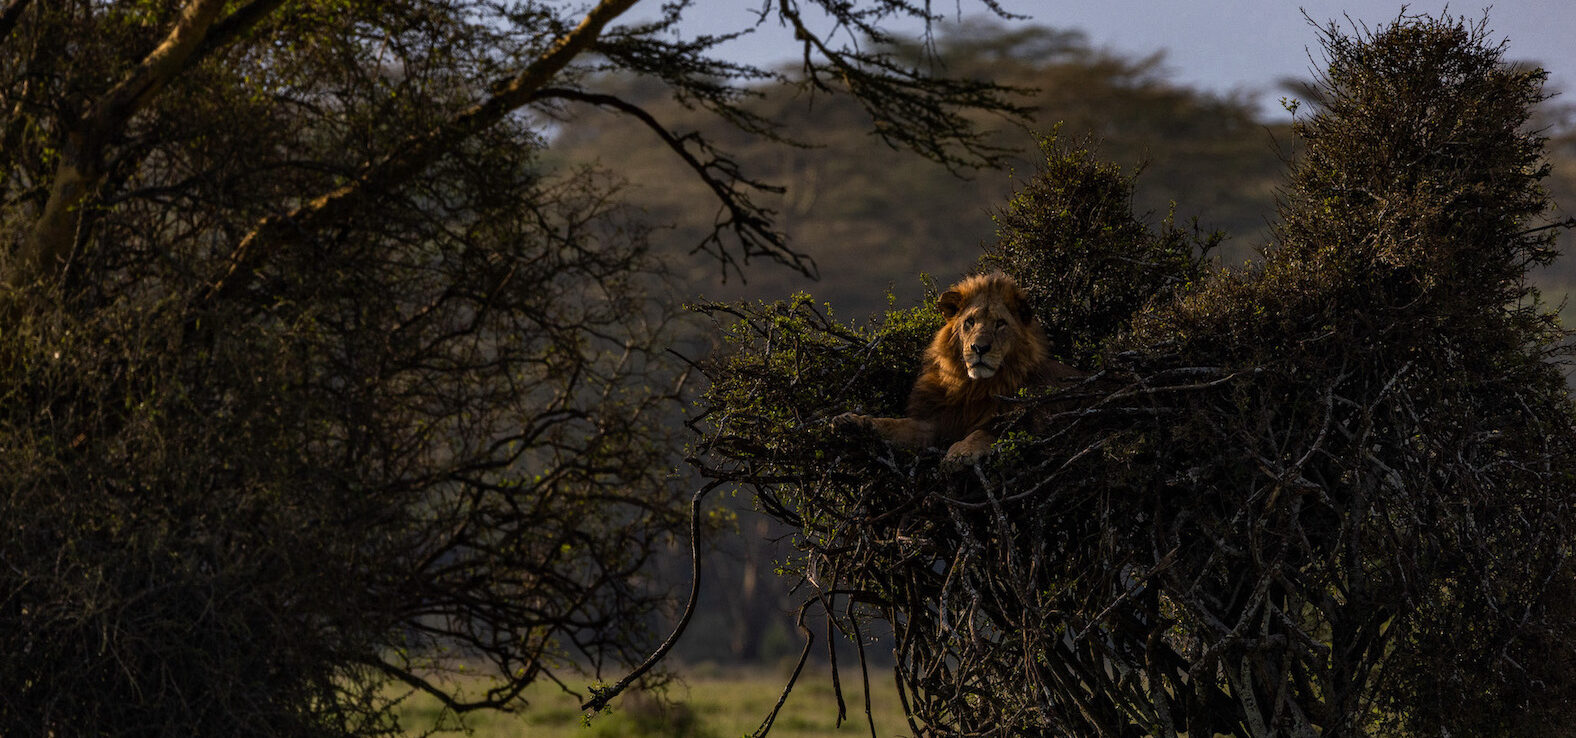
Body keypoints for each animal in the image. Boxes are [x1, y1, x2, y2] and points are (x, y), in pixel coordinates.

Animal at [834, 272, 1084, 466]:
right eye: (970, 322)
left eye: (1000, 323)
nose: (979, 348)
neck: (971, 387)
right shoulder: (932, 421)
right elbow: (892, 424)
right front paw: (852, 422)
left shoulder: (1027, 422)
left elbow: (981, 433)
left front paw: (960, 453)